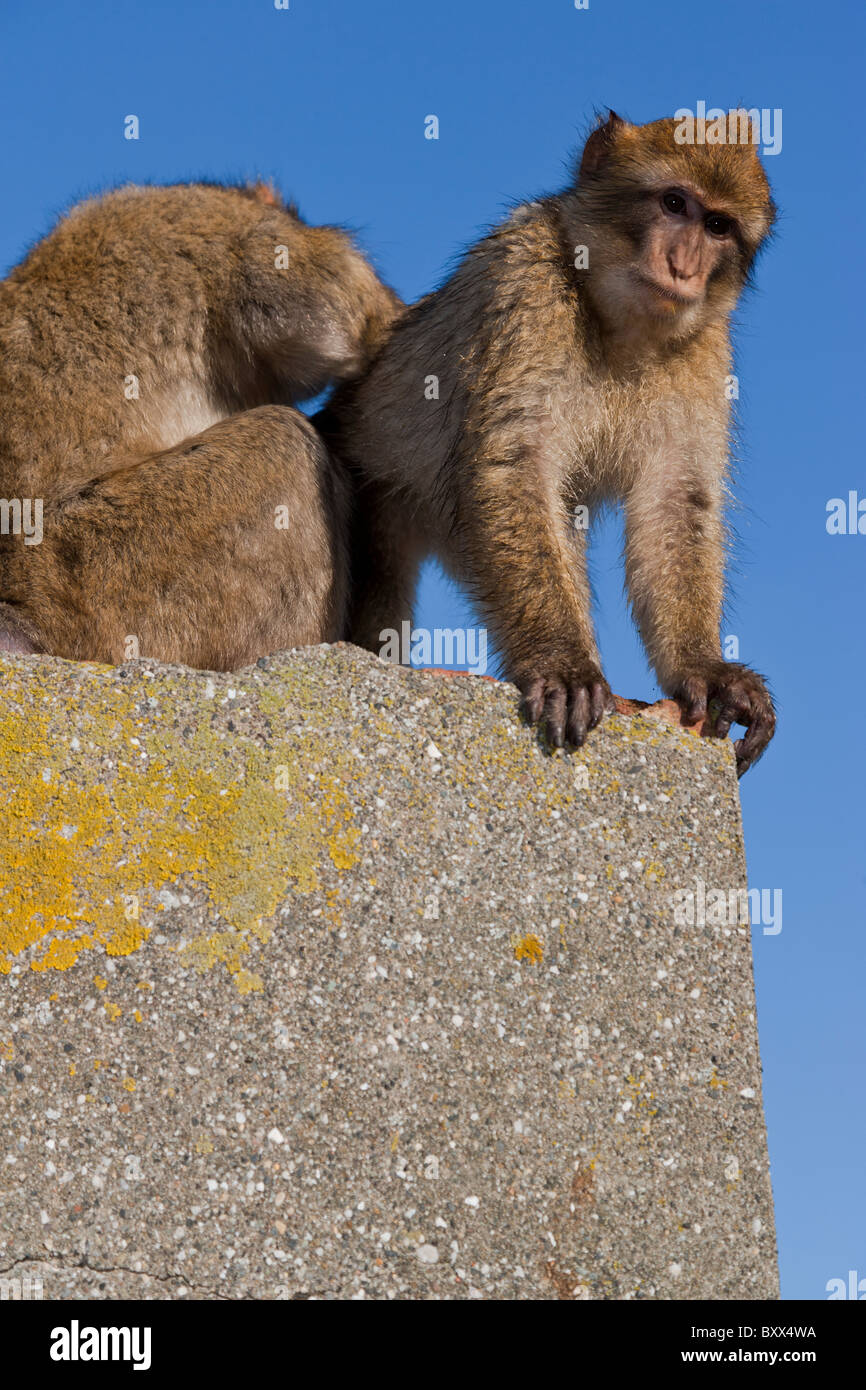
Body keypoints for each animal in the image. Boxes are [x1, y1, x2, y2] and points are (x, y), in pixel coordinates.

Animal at [323, 113, 778, 778]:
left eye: (718, 226)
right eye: (674, 203)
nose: (684, 264)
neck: (621, 325)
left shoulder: (706, 346)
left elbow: (676, 500)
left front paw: (705, 670)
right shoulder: (526, 278)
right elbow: (514, 465)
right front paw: (562, 663)